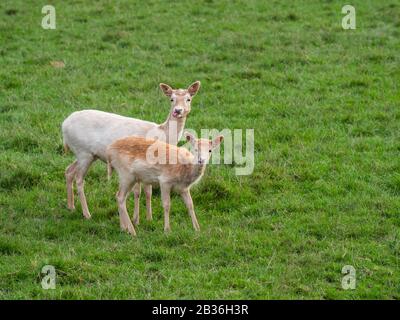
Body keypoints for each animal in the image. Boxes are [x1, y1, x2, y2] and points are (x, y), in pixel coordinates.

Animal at [61, 80, 202, 220]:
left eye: (188, 99)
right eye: (171, 99)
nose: (178, 111)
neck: (162, 134)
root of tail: (64, 124)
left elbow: (148, 192)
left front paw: (147, 218)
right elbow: (140, 191)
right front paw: (138, 219)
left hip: (85, 153)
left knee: (69, 170)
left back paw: (71, 206)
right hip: (83, 152)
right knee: (79, 179)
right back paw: (87, 214)